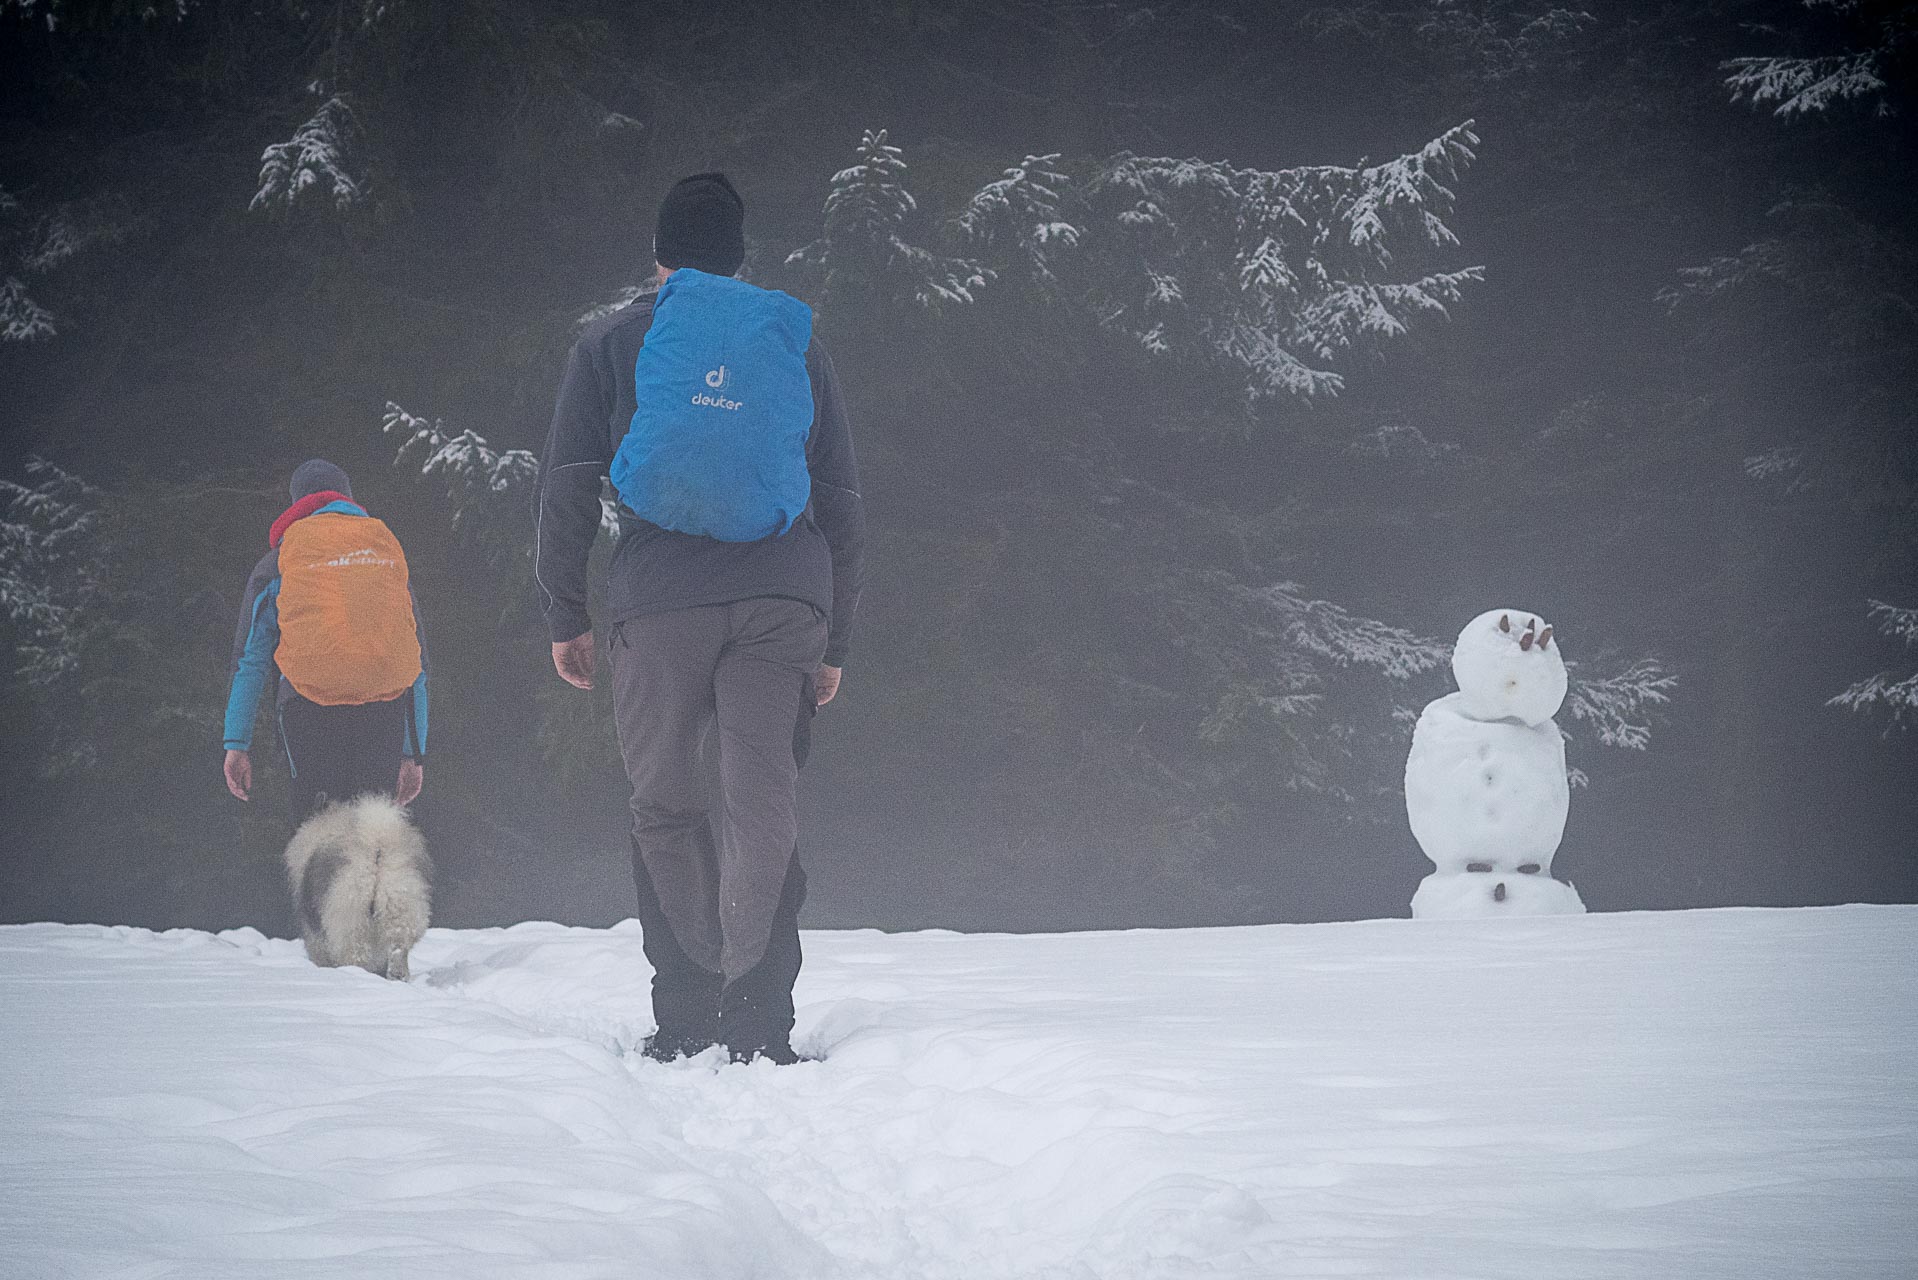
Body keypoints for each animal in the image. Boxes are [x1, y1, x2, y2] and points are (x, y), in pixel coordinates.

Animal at [280, 802, 431, 982]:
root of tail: (377, 844)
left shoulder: (316, 938)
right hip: (400, 908)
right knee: (398, 949)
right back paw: (397, 976)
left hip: (351, 922)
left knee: (357, 958)